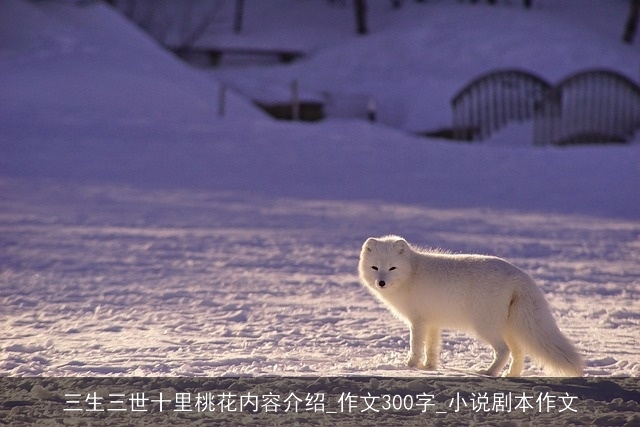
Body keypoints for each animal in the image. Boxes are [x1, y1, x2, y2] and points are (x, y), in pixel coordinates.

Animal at [358, 237, 584, 378]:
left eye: (392, 268)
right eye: (375, 268)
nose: (381, 283)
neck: (412, 273)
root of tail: (520, 275)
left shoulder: (418, 321)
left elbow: (416, 346)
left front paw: (410, 367)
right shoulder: (433, 322)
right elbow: (432, 347)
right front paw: (429, 367)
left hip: (485, 326)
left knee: (504, 350)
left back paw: (489, 373)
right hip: (509, 327)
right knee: (518, 352)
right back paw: (511, 374)